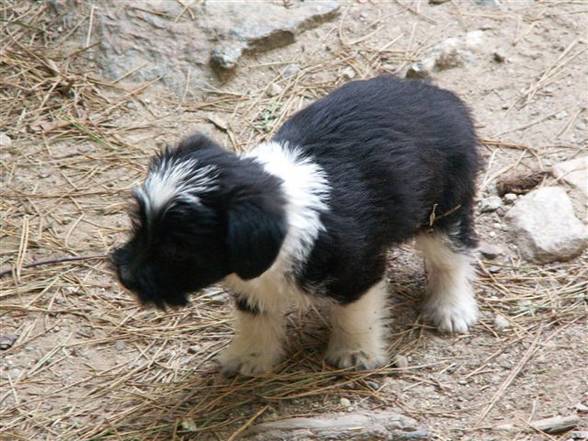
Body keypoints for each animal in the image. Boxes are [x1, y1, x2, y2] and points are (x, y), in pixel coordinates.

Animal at [112, 75, 480, 374]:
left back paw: (451, 307)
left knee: (452, 257)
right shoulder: (253, 277)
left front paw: (355, 352)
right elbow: (255, 316)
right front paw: (250, 357)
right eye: (139, 226)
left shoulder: (357, 271)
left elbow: (356, 314)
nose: (125, 276)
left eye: (177, 249)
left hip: (445, 210)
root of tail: (442, 96)